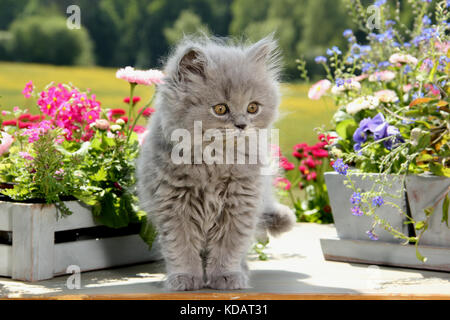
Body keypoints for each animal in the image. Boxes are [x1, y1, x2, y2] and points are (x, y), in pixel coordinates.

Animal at [139, 35, 298, 290]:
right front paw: (185, 278)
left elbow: (229, 247)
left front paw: (226, 277)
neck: (213, 161)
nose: (242, 125)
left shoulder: (240, 206)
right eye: (220, 109)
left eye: (253, 107)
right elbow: (180, 248)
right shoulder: (173, 207)